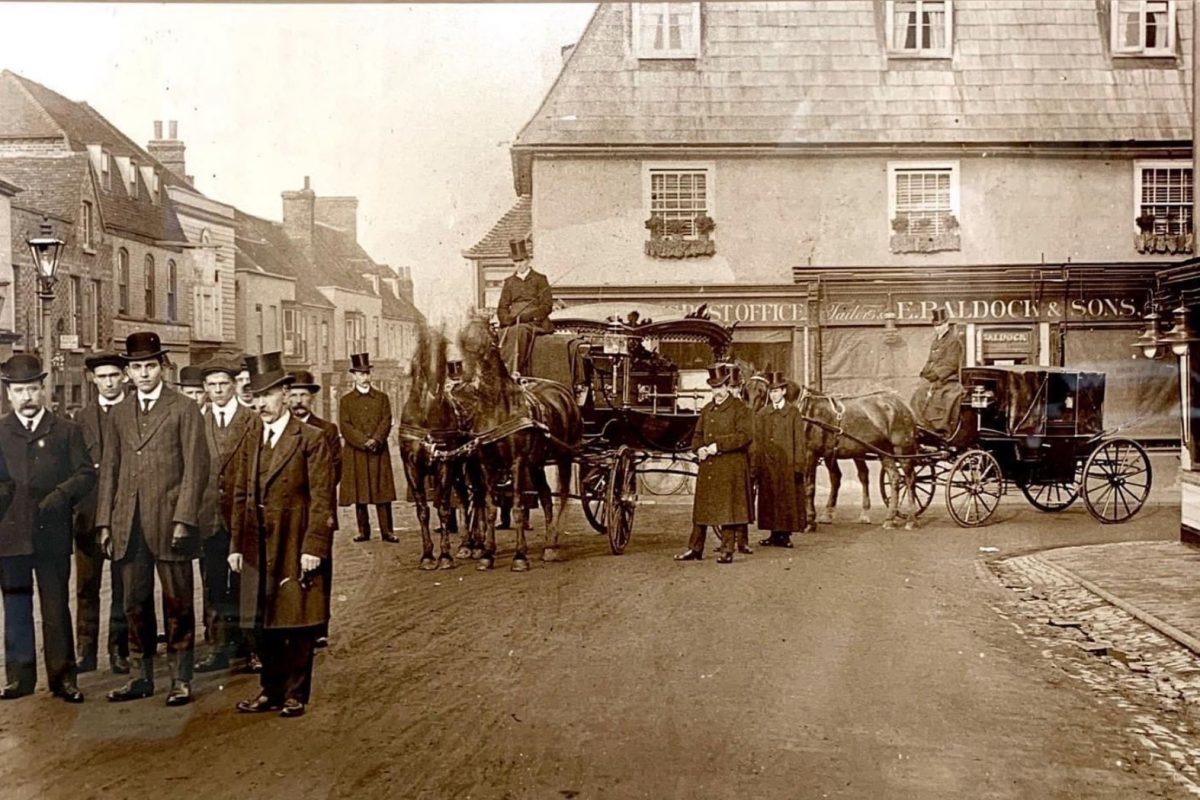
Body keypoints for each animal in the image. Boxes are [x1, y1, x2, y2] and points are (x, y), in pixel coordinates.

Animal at [453, 314, 580, 568]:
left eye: (484, 339)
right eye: (462, 339)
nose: (463, 380)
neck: (497, 408)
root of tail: (563, 392)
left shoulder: (517, 463)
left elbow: (518, 507)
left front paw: (520, 556)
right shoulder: (487, 464)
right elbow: (490, 507)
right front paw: (487, 553)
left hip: (564, 456)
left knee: (562, 497)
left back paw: (555, 543)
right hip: (537, 463)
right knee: (546, 496)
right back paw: (548, 544)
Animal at [796, 388, 916, 532]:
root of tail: (902, 403)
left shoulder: (810, 454)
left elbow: (808, 487)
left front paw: (809, 522)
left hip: (902, 450)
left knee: (909, 479)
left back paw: (910, 519)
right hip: (884, 451)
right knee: (894, 477)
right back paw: (889, 519)